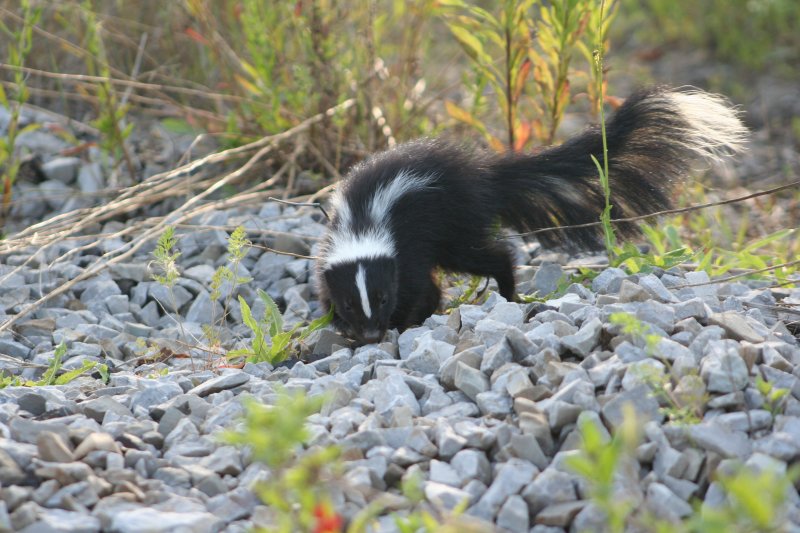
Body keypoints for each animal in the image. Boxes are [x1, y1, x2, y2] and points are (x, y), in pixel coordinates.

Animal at [316, 87, 748, 342]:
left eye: (381, 297)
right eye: (353, 303)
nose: (371, 333)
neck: (362, 221)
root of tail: (484, 175)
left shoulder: (406, 242)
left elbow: (415, 283)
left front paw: (402, 320)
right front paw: (338, 321)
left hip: (456, 226)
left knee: (492, 256)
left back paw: (510, 293)